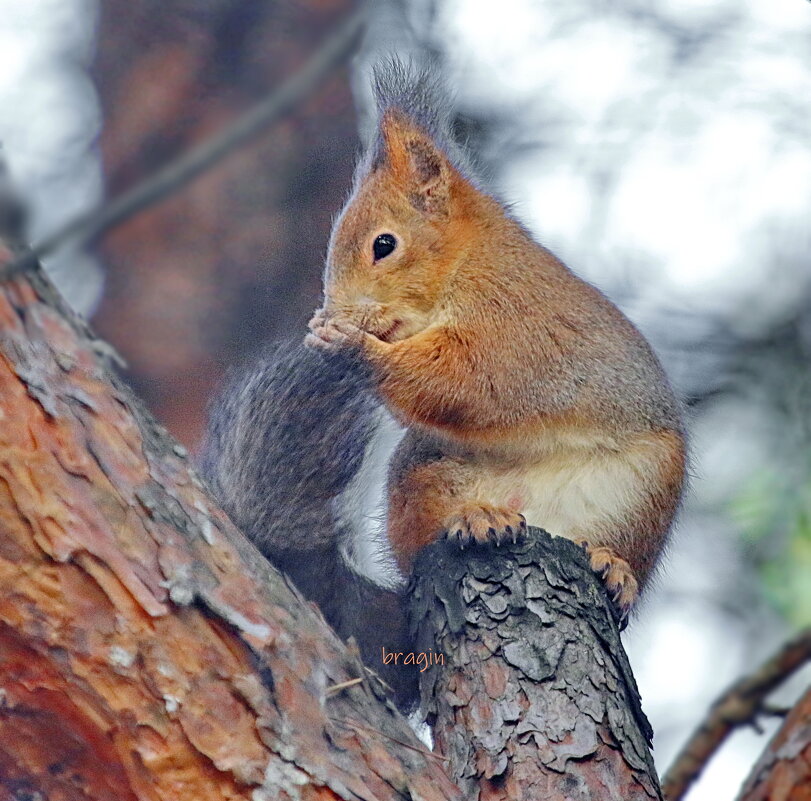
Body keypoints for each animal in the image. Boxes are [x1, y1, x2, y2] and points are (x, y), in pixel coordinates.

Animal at [200, 62, 688, 708]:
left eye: (384, 245)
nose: (337, 310)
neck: (465, 260)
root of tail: (541, 519)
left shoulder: (515, 322)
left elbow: (471, 378)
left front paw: (353, 345)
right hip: (424, 475)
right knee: (425, 540)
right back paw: (479, 519)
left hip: (645, 489)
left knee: (619, 547)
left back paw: (613, 567)